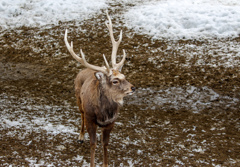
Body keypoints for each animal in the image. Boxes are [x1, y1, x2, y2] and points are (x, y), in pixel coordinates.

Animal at [63, 10, 135, 167]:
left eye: (124, 75)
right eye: (115, 81)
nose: (133, 88)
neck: (103, 113)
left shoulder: (111, 122)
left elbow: (105, 144)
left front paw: (106, 164)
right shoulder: (91, 118)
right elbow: (93, 144)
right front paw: (92, 163)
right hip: (78, 99)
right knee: (81, 115)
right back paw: (80, 136)